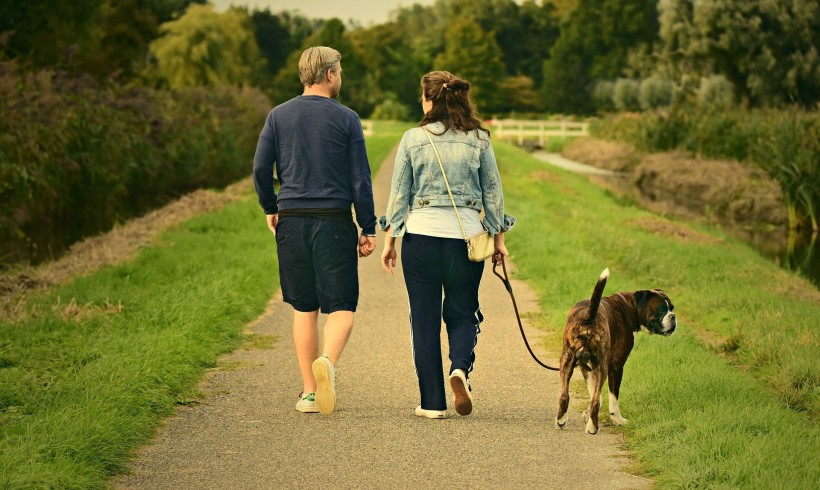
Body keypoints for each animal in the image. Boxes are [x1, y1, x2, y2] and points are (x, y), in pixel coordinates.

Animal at [556, 270, 676, 434]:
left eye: (672, 308)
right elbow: (612, 398)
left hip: (567, 360)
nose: (673, 317)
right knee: (594, 400)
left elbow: (595, 394)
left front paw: (587, 414)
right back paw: (593, 428)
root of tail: (589, 317)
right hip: (602, 365)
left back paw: (561, 421)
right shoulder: (616, 366)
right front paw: (617, 420)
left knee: (564, 396)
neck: (629, 307)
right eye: (662, 311)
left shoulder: (585, 366)